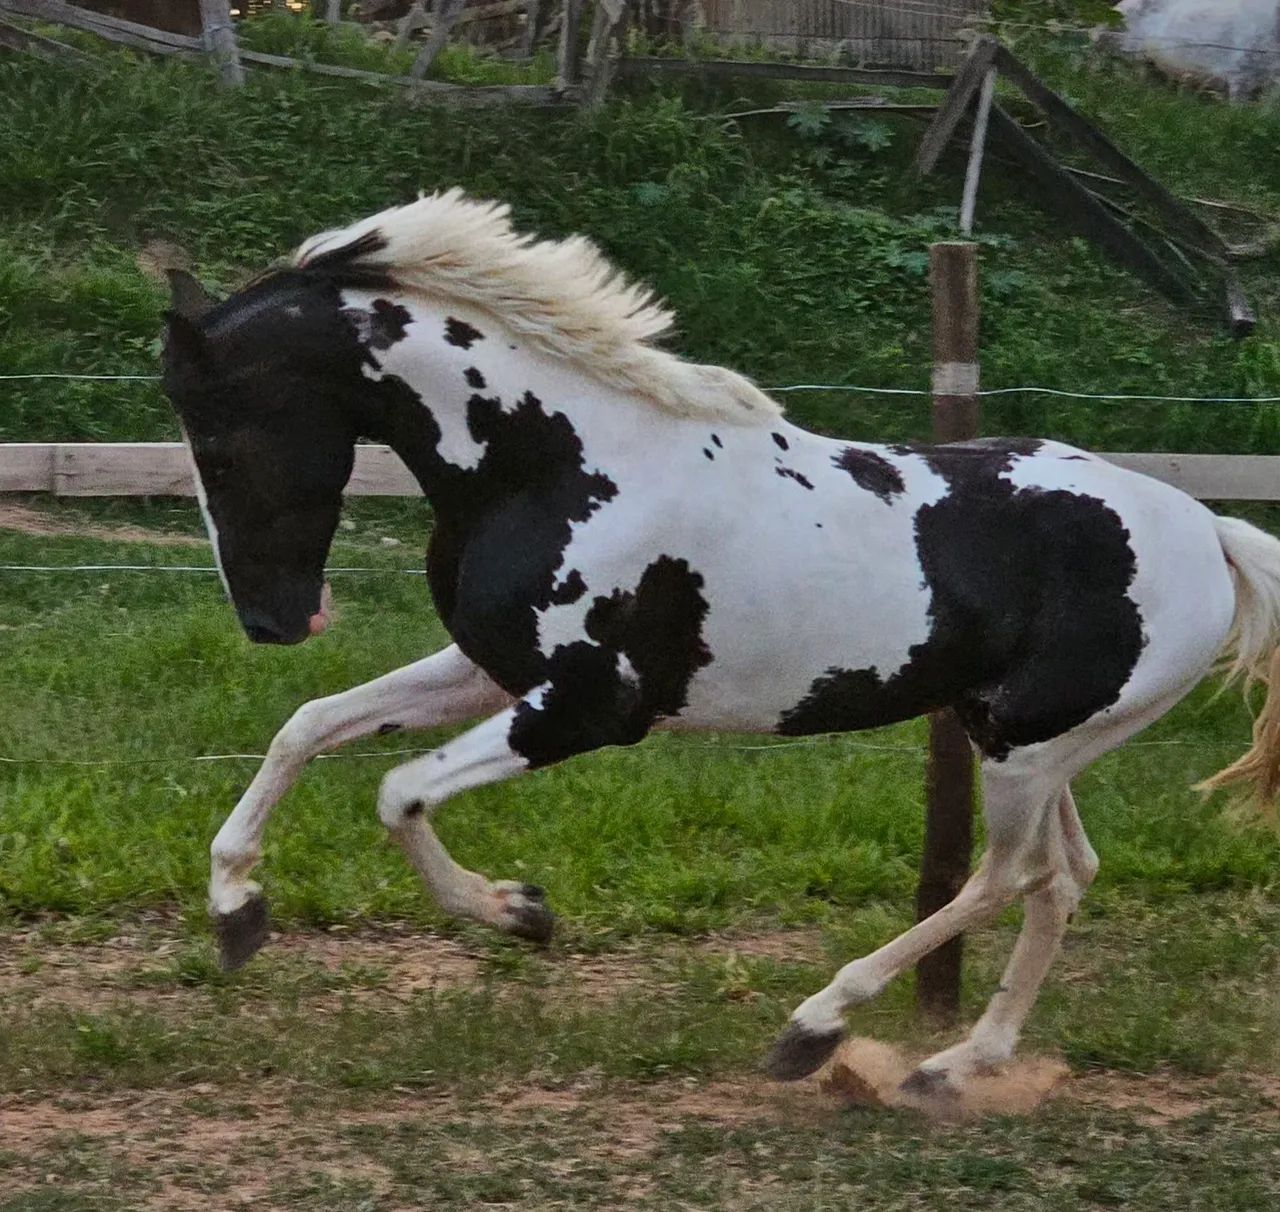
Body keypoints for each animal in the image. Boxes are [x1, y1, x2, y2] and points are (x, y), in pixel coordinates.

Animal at [161, 189, 1280, 1097]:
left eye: (218, 437)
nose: (272, 621)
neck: (561, 462)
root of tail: (1205, 529)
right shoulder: (489, 675)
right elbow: (308, 726)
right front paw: (236, 912)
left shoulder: (589, 708)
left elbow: (397, 792)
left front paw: (519, 913)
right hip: (1022, 738)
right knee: (1066, 876)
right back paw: (954, 1067)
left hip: (1029, 749)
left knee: (1008, 879)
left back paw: (816, 1029)